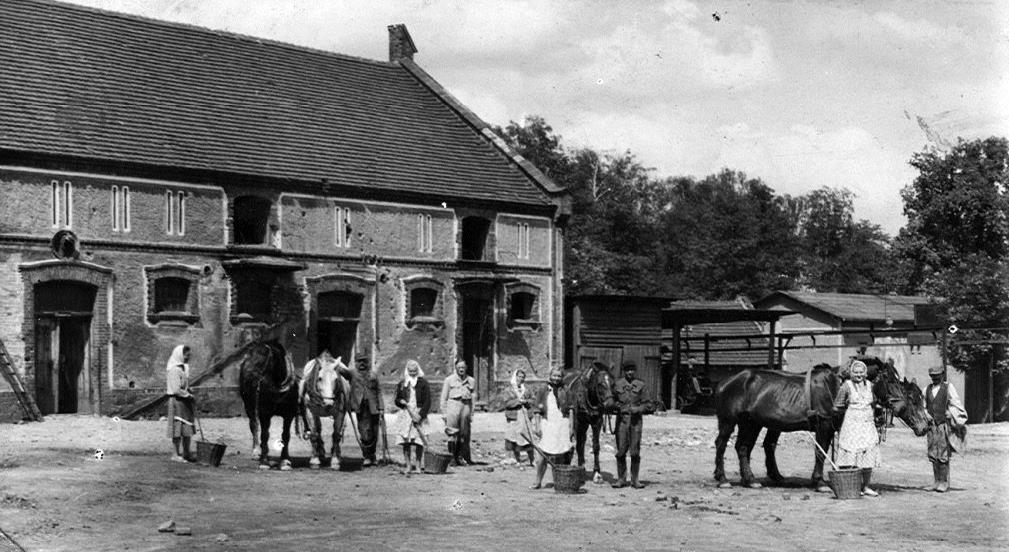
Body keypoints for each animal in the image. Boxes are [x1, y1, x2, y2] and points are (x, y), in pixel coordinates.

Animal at [239, 341, 298, 470]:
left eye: (262, 361)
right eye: (253, 358)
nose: (247, 375)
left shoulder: (289, 414)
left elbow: (286, 436)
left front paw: (285, 461)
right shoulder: (264, 413)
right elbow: (264, 435)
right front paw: (264, 462)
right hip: (249, 405)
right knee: (254, 425)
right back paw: (256, 451)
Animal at [714, 359, 924, 492]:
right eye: (889, 380)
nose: (925, 427)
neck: (836, 386)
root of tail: (726, 382)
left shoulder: (831, 428)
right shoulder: (823, 425)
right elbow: (820, 452)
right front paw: (819, 482)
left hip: (750, 423)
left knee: (743, 448)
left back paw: (750, 480)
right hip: (729, 421)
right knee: (722, 444)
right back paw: (722, 479)